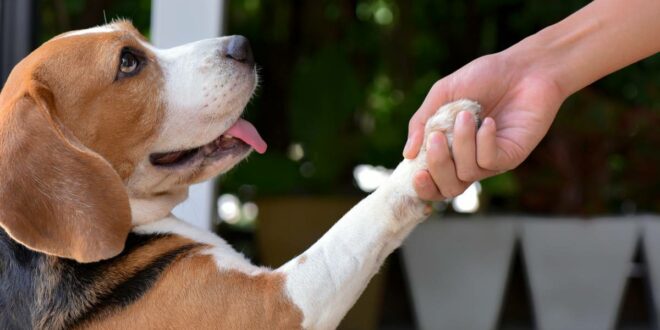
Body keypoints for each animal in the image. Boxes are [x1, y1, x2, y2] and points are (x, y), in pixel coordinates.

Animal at [0, 21, 480, 330]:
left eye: (139, 37)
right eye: (129, 62)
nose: (243, 46)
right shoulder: (274, 306)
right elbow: (355, 226)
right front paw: (431, 147)